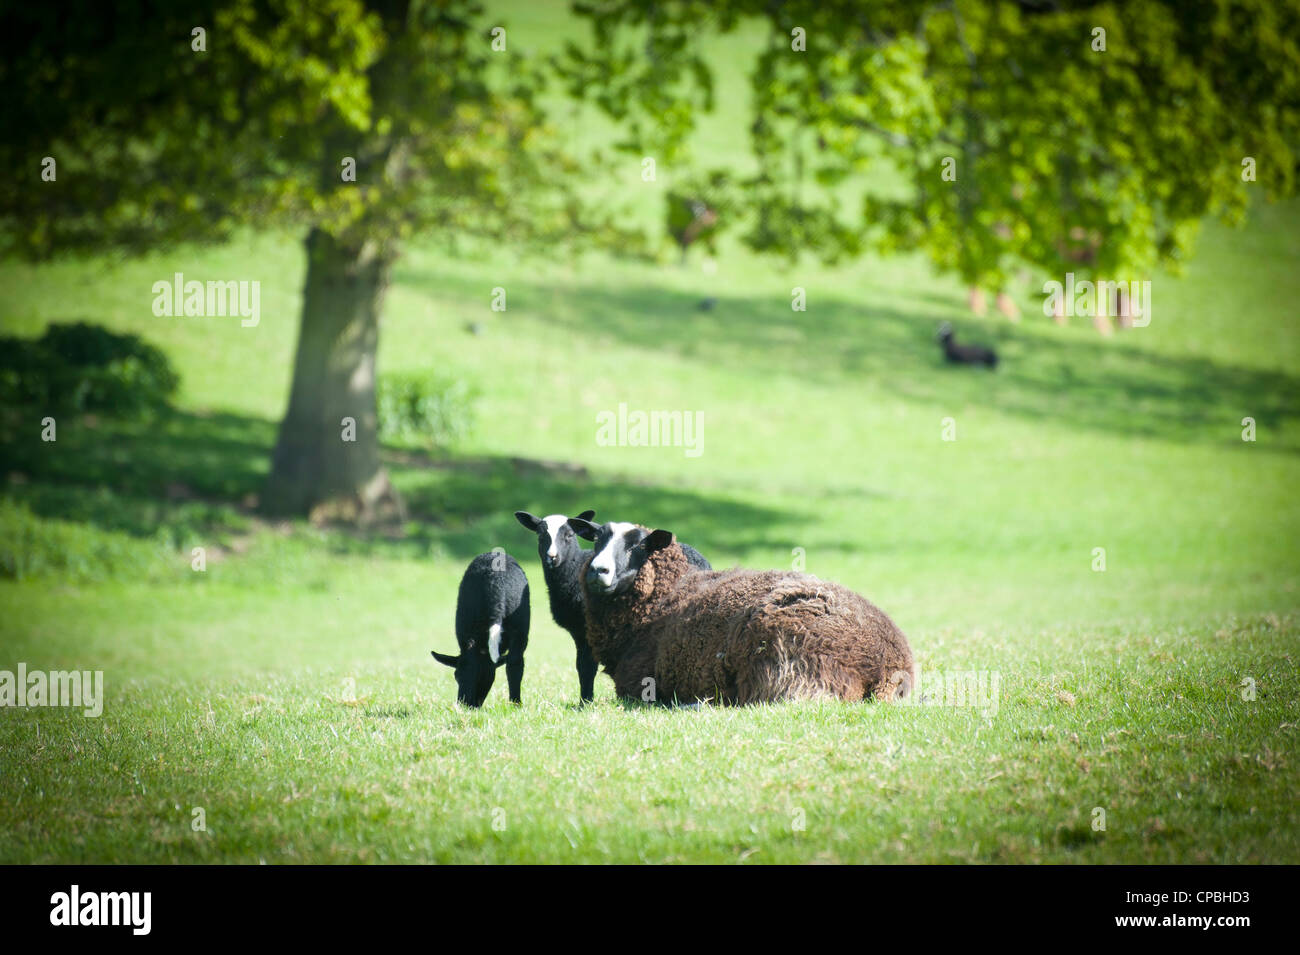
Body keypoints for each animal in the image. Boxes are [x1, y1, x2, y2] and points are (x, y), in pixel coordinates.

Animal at [566, 519, 915, 706]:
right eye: (596, 540)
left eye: (638, 546)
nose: (598, 571)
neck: (663, 599)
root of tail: (890, 663)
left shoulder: (637, 685)